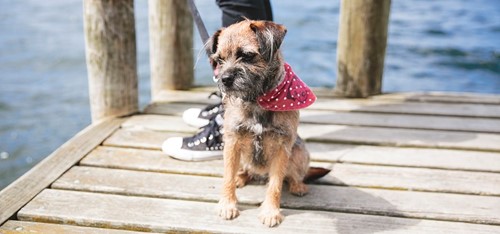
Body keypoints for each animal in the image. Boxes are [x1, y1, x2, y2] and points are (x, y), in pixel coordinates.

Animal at [209, 19, 330, 228]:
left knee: (294, 174)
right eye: (219, 60)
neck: (258, 99)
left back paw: (298, 185)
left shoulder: (282, 148)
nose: (224, 79)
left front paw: (271, 212)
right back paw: (241, 177)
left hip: (299, 151)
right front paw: (227, 204)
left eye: (247, 55)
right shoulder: (232, 142)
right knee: (243, 170)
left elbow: (275, 184)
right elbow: (227, 177)